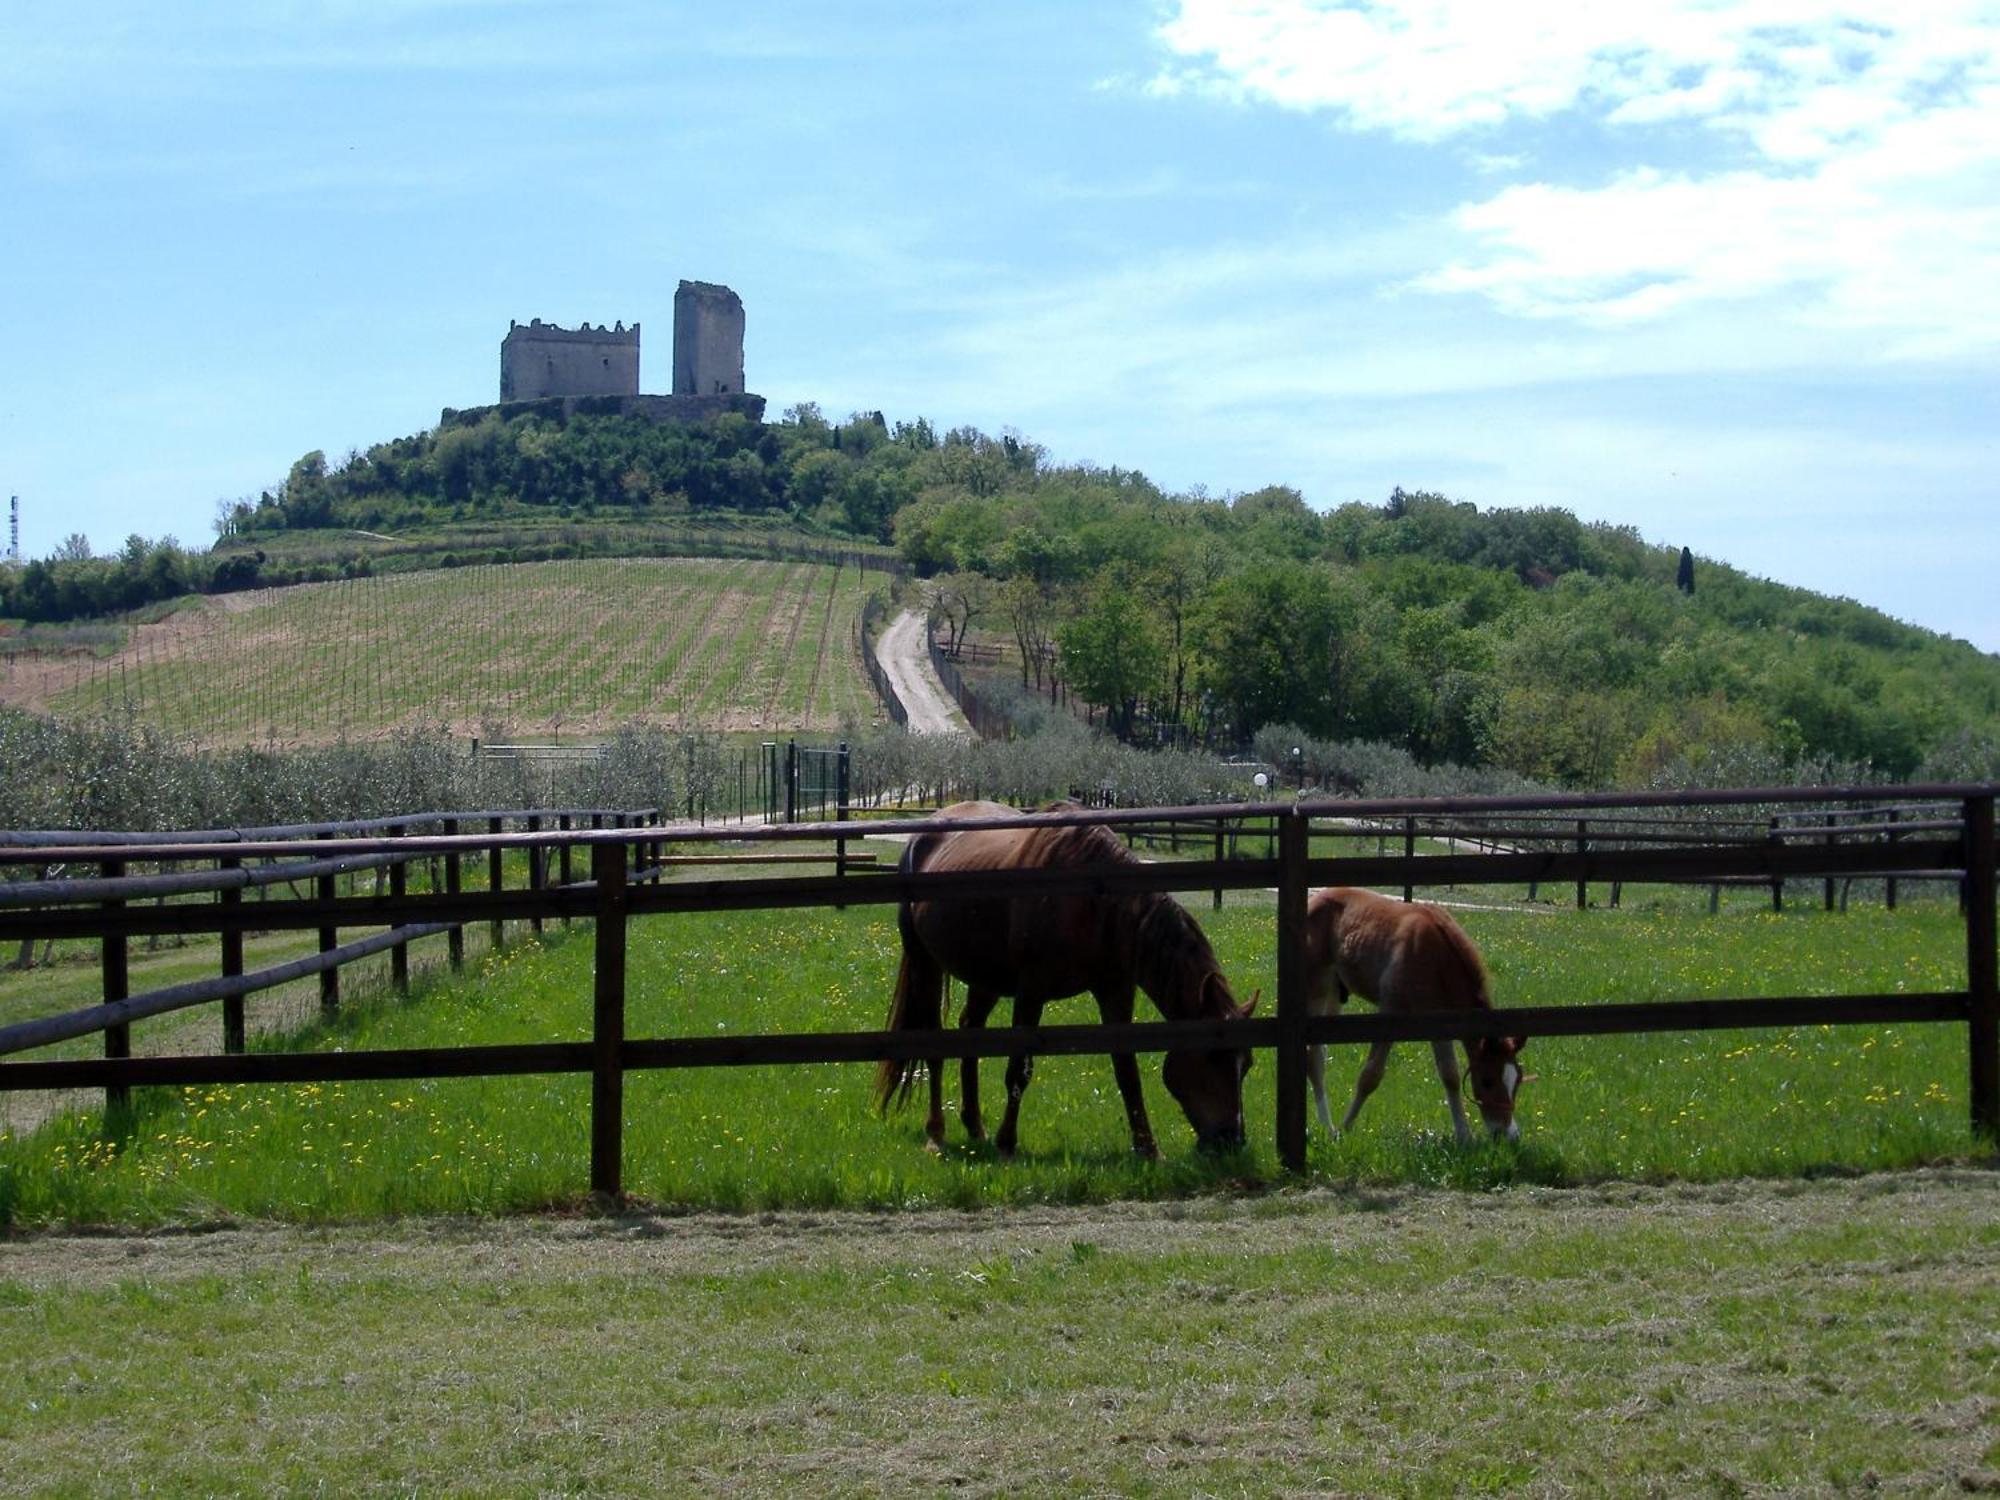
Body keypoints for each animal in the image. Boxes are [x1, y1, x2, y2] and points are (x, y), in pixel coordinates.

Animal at [872, 804, 1248, 1160]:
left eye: (1247, 1064)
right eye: (1213, 1056)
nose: (1232, 1140)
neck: (1094, 901)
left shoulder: (1115, 991)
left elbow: (1127, 1069)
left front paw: (1148, 1148)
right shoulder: (1031, 992)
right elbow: (1019, 1070)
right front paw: (1007, 1143)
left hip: (986, 976)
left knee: (970, 1032)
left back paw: (975, 1126)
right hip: (924, 962)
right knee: (934, 1046)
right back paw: (936, 1134)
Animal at [1304, 888, 1520, 1144]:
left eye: (1517, 1081)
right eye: (1487, 1081)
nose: (1508, 1134)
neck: (1436, 956)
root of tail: (1315, 898)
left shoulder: (1438, 1021)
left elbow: (1450, 1075)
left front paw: (1464, 1136)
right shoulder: (1390, 1011)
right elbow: (1370, 1075)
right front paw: (1346, 1127)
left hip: (1336, 992)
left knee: (1320, 1052)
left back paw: (1325, 1124)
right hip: (1316, 987)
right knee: (1313, 1056)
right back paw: (1329, 1128)